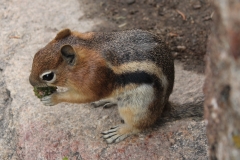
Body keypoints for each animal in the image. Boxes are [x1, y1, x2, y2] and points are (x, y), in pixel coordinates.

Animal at [29, 28, 174, 144]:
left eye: (48, 76)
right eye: (36, 54)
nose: (30, 82)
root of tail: (162, 107)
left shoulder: (93, 79)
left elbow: (84, 96)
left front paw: (53, 98)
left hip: (137, 107)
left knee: (140, 125)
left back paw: (120, 131)